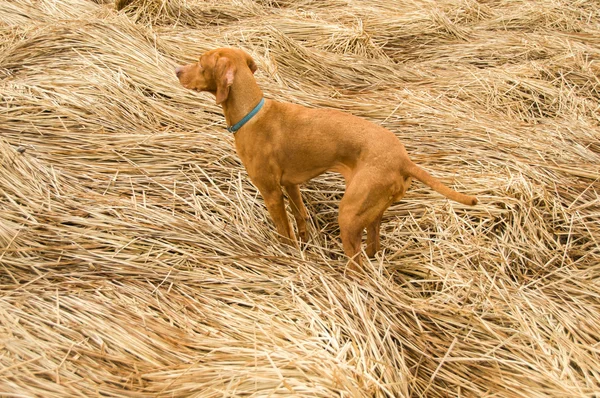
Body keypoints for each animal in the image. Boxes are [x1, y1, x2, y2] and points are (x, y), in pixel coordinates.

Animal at [175, 47, 478, 268]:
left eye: (200, 63)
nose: (176, 70)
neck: (251, 113)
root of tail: (404, 160)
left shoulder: (271, 192)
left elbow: (284, 231)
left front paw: (286, 255)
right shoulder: (291, 185)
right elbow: (300, 217)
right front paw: (305, 244)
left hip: (349, 215)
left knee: (357, 265)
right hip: (371, 213)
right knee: (373, 247)